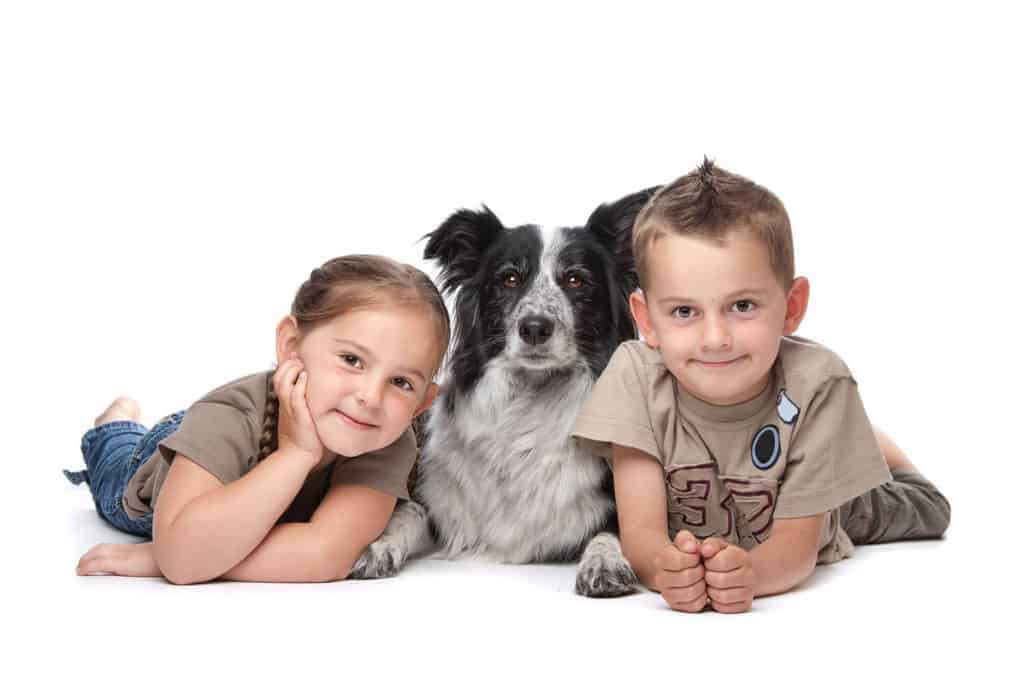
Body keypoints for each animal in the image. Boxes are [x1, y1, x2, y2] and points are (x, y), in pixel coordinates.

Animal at [350, 188, 655, 598]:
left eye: (576, 280)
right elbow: (408, 512)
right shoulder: (438, 498)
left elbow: (612, 531)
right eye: (509, 278)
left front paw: (604, 562)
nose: (535, 327)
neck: (528, 403)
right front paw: (378, 546)